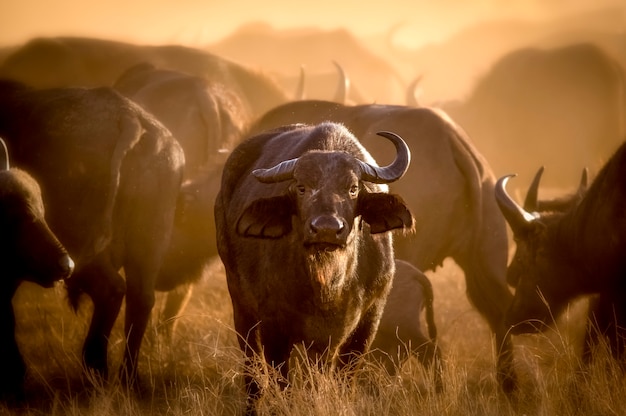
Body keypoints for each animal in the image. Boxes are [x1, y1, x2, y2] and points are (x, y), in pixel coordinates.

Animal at [214, 122, 414, 414]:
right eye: (301, 187)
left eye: (353, 188)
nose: (327, 229)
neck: (327, 285)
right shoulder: (274, 325)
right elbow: (281, 382)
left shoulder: (367, 321)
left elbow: (340, 380)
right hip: (240, 306)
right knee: (253, 372)